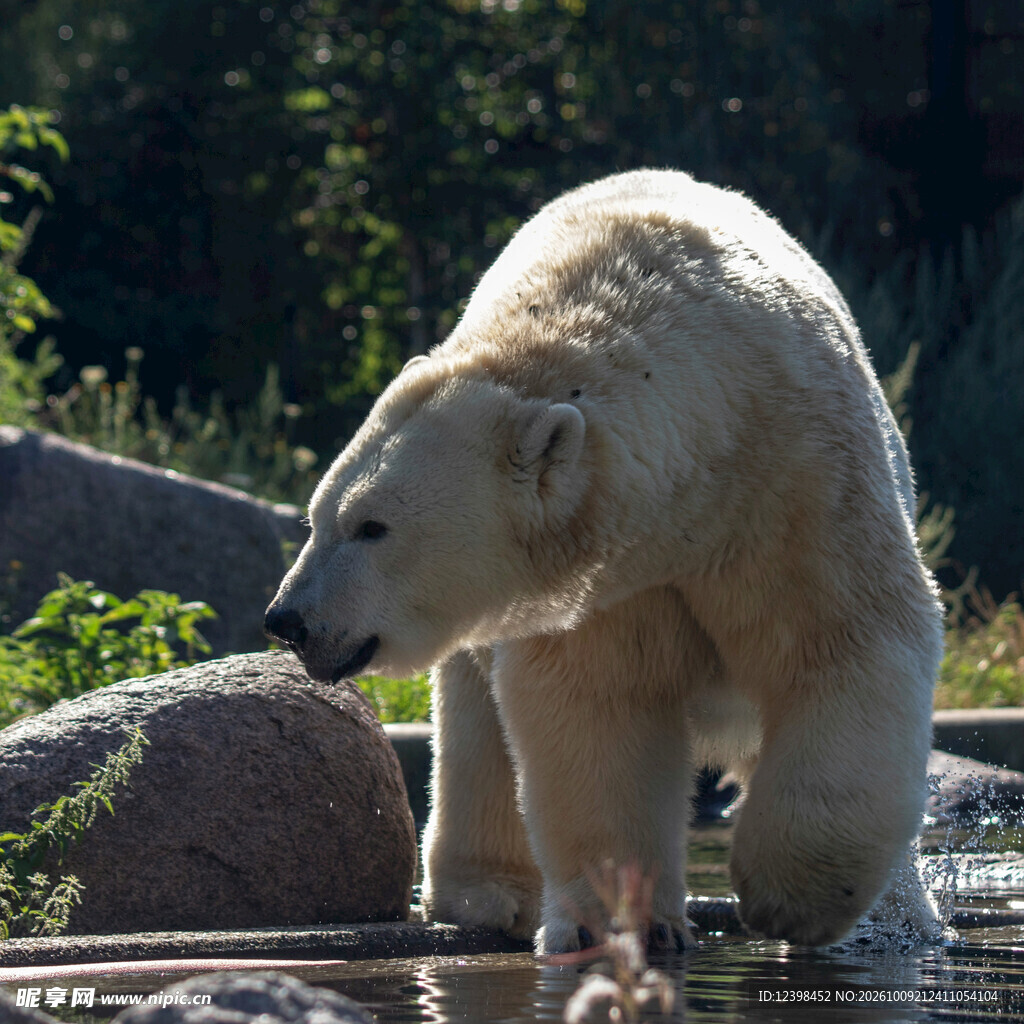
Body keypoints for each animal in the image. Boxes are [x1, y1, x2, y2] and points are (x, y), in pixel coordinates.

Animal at [265, 169, 944, 952]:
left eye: (370, 527)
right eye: (316, 517)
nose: (289, 620)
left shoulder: (800, 489)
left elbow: (842, 642)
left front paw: (793, 895)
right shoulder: (606, 582)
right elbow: (601, 706)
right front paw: (618, 923)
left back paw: (907, 918)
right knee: (473, 724)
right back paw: (485, 895)